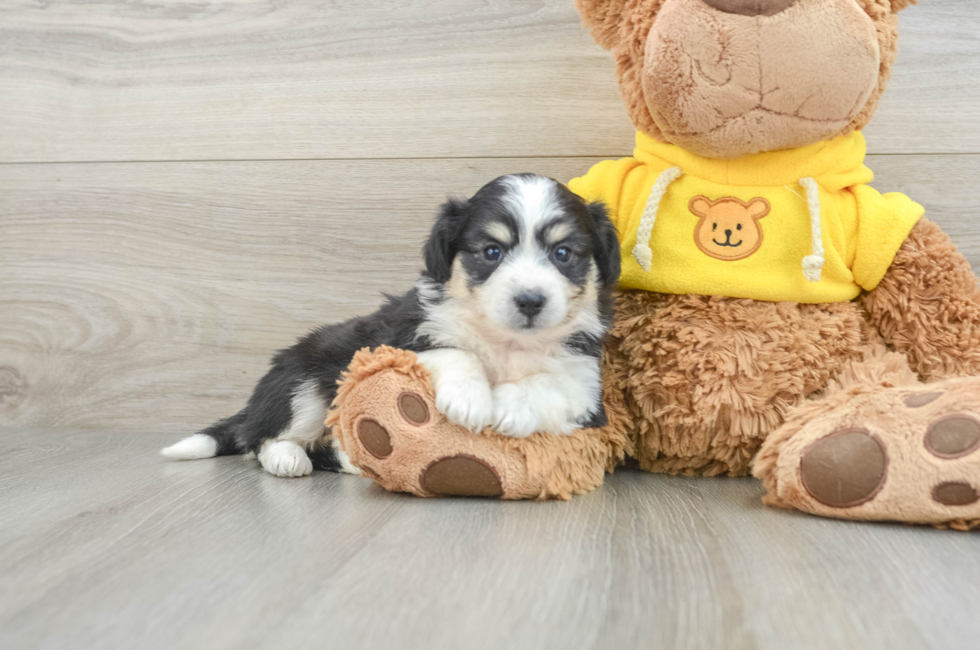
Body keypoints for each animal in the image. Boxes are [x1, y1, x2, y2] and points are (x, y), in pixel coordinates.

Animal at [161, 172, 620, 476]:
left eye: (563, 253)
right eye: (491, 251)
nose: (530, 300)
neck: (506, 343)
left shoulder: (587, 390)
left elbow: (548, 386)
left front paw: (510, 406)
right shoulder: (400, 339)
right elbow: (455, 352)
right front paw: (470, 399)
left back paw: (351, 461)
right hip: (303, 383)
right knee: (262, 439)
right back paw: (288, 458)